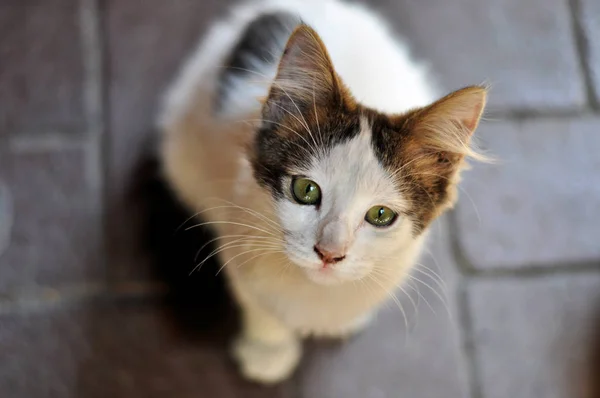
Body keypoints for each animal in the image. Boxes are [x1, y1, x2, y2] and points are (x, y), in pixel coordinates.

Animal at [158, 0, 488, 386]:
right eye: (306, 190)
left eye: (381, 215)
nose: (330, 255)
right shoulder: (237, 229)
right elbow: (257, 299)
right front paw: (269, 349)